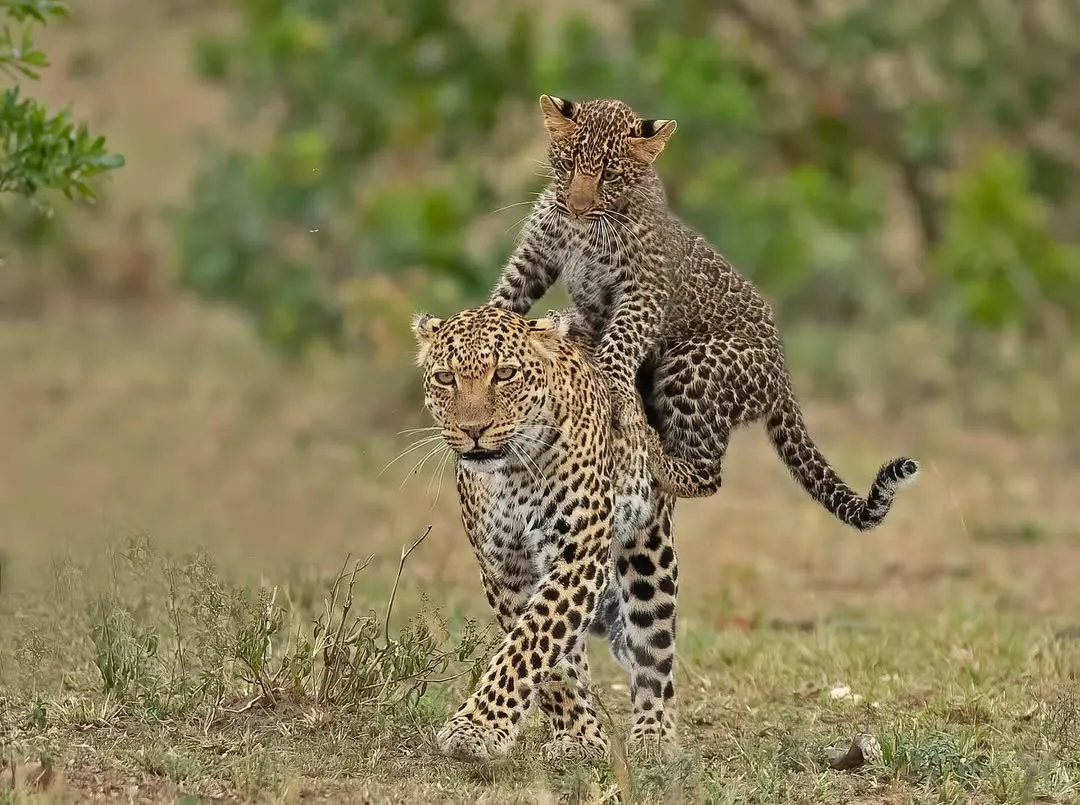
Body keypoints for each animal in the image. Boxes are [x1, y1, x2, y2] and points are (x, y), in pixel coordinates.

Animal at [412, 304, 685, 763]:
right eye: (446, 378)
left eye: (505, 374)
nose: (473, 429)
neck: (510, 475)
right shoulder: (506, 569)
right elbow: (549, 658)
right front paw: (579, 736)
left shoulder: (579, 555)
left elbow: (529, 642)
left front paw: (475, 728)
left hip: (649, 550)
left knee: (654, 650)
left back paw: (654, 737)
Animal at [488, 94, 920, 531]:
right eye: (568, 164)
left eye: (609, 175)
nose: (576, 207)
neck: (580, 229)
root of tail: (783, 378)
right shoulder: (536, 257)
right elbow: (508, 294)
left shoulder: (645, 287)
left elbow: (623, 339)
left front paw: (611, 389)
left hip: (693, 364)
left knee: (707, 474)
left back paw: (653, 449)